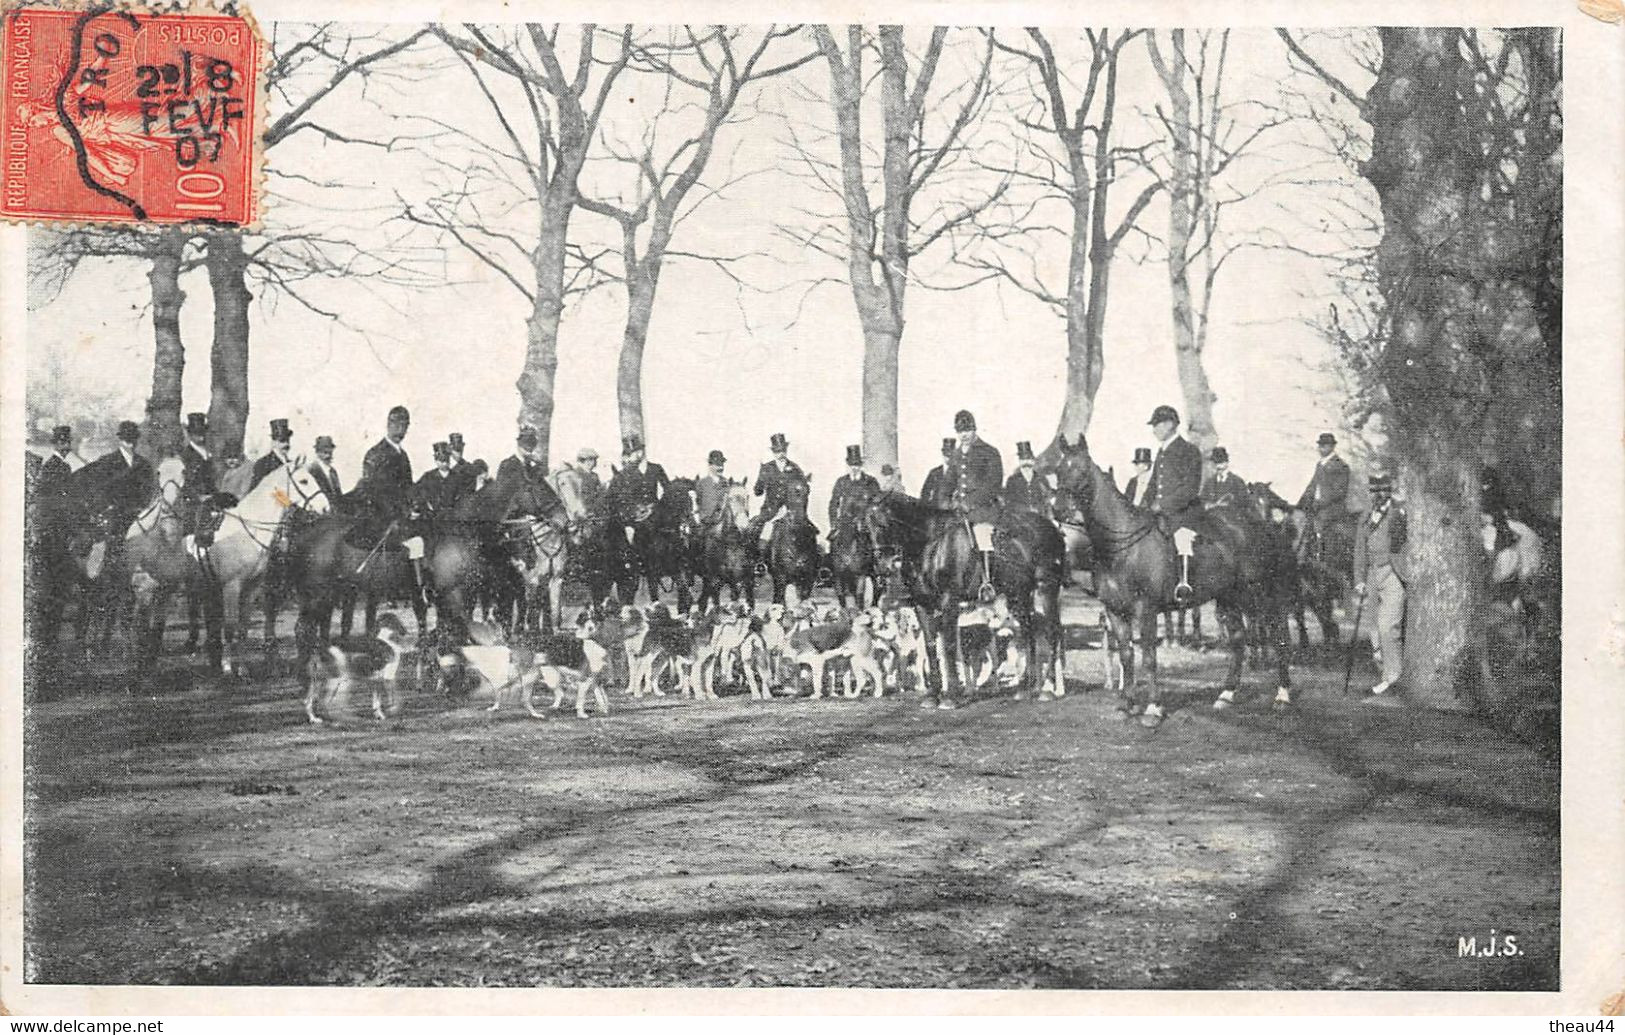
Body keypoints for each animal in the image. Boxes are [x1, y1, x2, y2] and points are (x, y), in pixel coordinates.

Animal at [187, 461, 333, 679]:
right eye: (304, 480)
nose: (326, 507)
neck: (248, 530)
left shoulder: (252, 587)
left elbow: (243, 628)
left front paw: (242, 669)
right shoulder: (231, 586)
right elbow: (230, 627)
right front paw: (229, 668)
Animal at [692, 477, 754, 614]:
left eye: (747, 496)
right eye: (730, 498)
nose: (744, 527)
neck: (731, 544)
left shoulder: (743, 580)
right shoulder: (717, 580)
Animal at [858, 487, 1072, 705]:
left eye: (884, 524)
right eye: (864, 529)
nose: (883, 566)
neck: (932, 544)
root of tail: (1053, 528)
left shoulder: (949, 602)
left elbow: (949, 646)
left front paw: (951, 696)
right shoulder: (922, 605)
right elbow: (931, 646)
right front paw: (933, 694)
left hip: (1045, 589)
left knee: (1052, 632)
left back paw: (1047, 688)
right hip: (1018, 595)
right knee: (1029, 632)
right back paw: (1029, 687)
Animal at [1040, 435, 1293, 727]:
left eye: (1081, 471)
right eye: (1059, 470)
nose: (1060, 509)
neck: (1123, 545)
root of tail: (1258, 524)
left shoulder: (1146, 609)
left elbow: (1149, 658)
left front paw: (1153, 709)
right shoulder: (1115, 611)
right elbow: (1126, 656)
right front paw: (1127, 705)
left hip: (1258, 594)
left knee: (1278, 634)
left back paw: (1283, 696)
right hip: (1229, 597)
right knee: (1239, 639)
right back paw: (1226, 694)